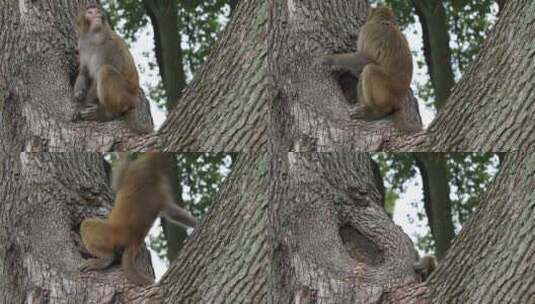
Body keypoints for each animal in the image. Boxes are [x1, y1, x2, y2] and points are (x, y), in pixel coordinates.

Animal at [73, 4, 149, 133]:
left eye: (97, 11)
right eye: (90, 12)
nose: (97, 15)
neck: (93, 37)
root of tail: (134, 100)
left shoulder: (109, 47)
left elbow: (97, 77)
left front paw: (81, 106)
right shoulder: (82, 44)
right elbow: (84, 72)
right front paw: (79, 93)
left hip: (125, 97)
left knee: (106, 71)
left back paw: (107, 114)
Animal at [78, 153, 198, 286]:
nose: (171, 168)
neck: (153, 167)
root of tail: (134, 239)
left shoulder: (134, 168)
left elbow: (116, 183)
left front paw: (121, 153)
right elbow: (171, 211)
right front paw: (197, 223)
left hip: (110, 234)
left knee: (87, 224)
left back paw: (104, 259)